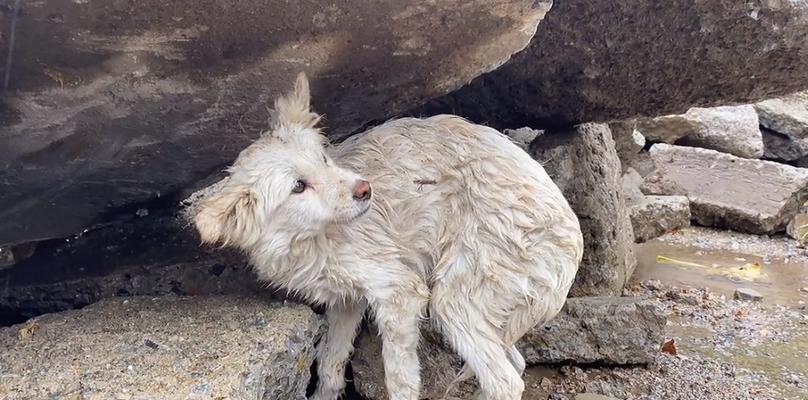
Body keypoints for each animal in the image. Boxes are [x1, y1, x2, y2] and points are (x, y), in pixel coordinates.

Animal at [193, 72, 584, 400]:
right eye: (298, 187)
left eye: (324, 159)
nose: (365, 190)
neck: (309, 237)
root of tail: (573, 238)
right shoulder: (345, 302)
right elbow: (331, 365)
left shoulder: (399, 292)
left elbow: (400, 378)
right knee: (513, 365)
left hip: (457, 296)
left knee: (506, 381)